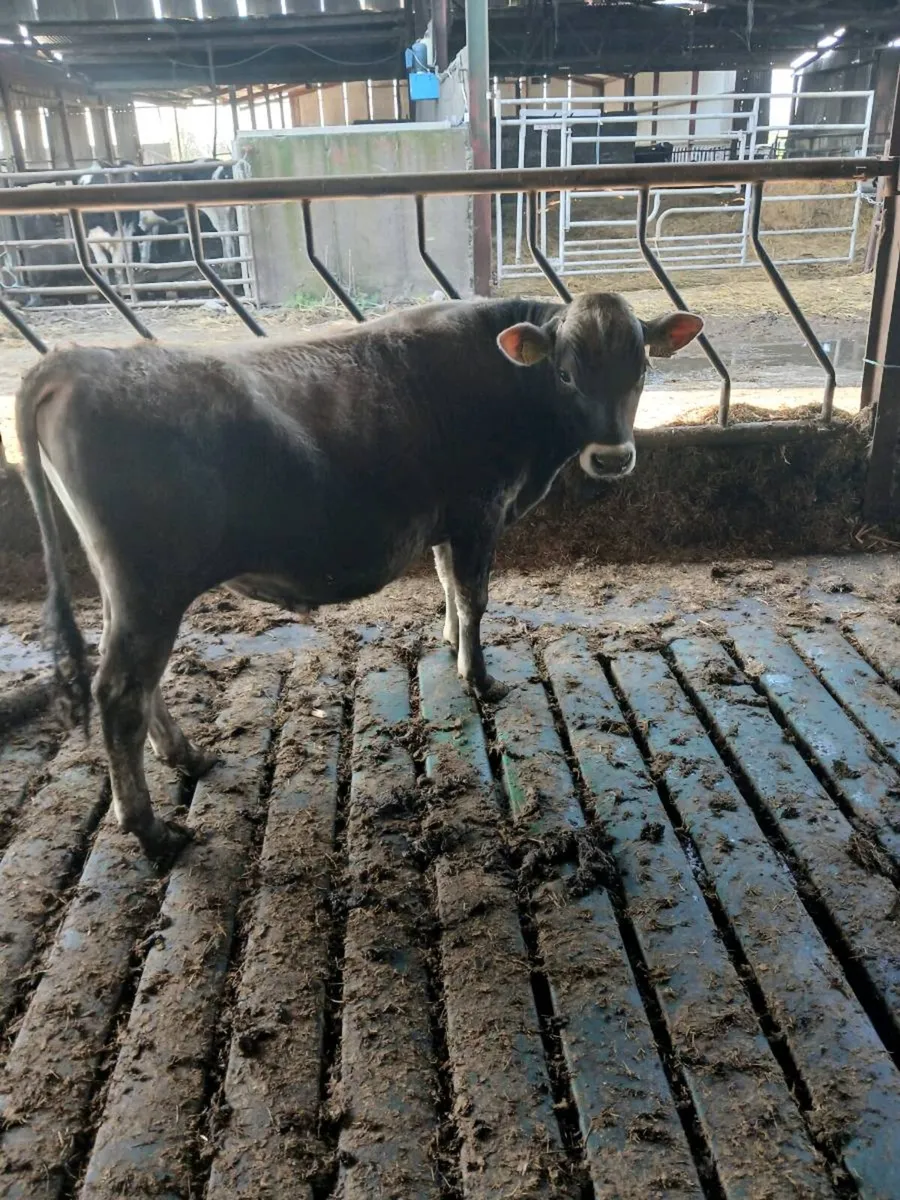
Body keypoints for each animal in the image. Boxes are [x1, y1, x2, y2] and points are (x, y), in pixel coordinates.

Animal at [16, 292, 702, 864]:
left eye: (642, 369)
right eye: (564, 374)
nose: (612, 457)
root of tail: (77, 361)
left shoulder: (447, 522)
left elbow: (447, 584)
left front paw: (450, 644)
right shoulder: (479, 511)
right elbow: (474, 595)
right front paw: (478, 676)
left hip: (130, 591)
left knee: (138, 683)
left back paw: (188, 755)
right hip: (151, 588)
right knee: (120, 695)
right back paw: (153, 831)